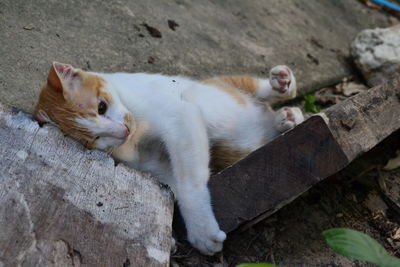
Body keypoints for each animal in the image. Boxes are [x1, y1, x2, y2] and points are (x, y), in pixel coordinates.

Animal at [34, 61, 304, 256]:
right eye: (95, 139)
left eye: (102, 107)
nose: (123, 130)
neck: (133, 142)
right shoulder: (155, 164)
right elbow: (175, 185)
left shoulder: (179, 116)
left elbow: (190, 183)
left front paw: (201, 232)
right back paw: (286, 119)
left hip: (222, 86)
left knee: (263, 90)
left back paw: (282, 87)